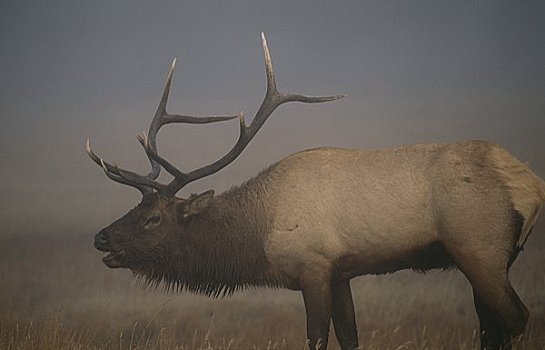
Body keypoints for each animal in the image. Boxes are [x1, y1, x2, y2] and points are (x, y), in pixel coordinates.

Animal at [87, 33, 544, 350]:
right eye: (136, 207)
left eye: (153, 218)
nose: (100, 237)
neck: (259, 234)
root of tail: (530, 185)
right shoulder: (341, 273)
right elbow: (351, 337)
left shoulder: (314, 267)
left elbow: (317, 338)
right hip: (492, 257)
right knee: (490, 326)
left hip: (479, 248)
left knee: (516, 317)